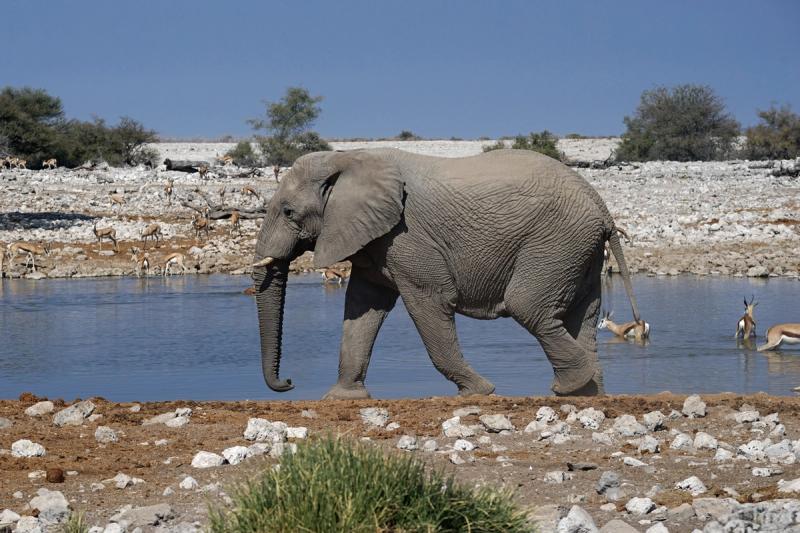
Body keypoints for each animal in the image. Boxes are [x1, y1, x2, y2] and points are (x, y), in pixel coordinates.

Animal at [252, 147, 642, 399]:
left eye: (288, 212)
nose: (288, 382)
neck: (345, 158)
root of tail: (602, 209)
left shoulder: (407, 237)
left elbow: (429, 301)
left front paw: (479, 392)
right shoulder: (374, 239)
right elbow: (363, 308)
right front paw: (343, 398)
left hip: (555, 242)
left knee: (528, 306)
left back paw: (568, 387)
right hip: (577, 251)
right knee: (583, 316)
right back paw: (588, 394)